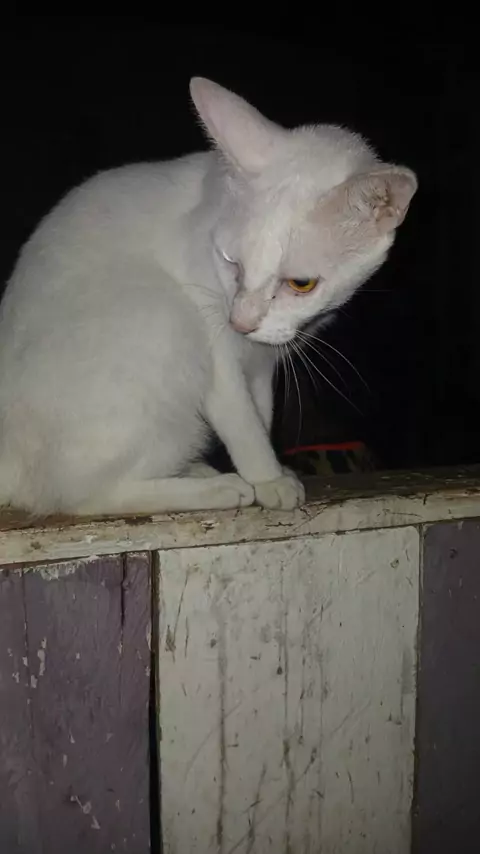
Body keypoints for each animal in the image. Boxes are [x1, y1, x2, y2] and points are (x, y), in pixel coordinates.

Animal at [0, 78, 417, 516]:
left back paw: (195, 471)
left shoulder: (261, 361)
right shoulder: (218, 352)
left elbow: (261, 412)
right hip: (166, 321)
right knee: (79, 496)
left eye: (301, 284)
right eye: (231, 262)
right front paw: (267, 478)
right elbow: (242, 421)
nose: (240, 322)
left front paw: (269, 468)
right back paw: (214, 489)